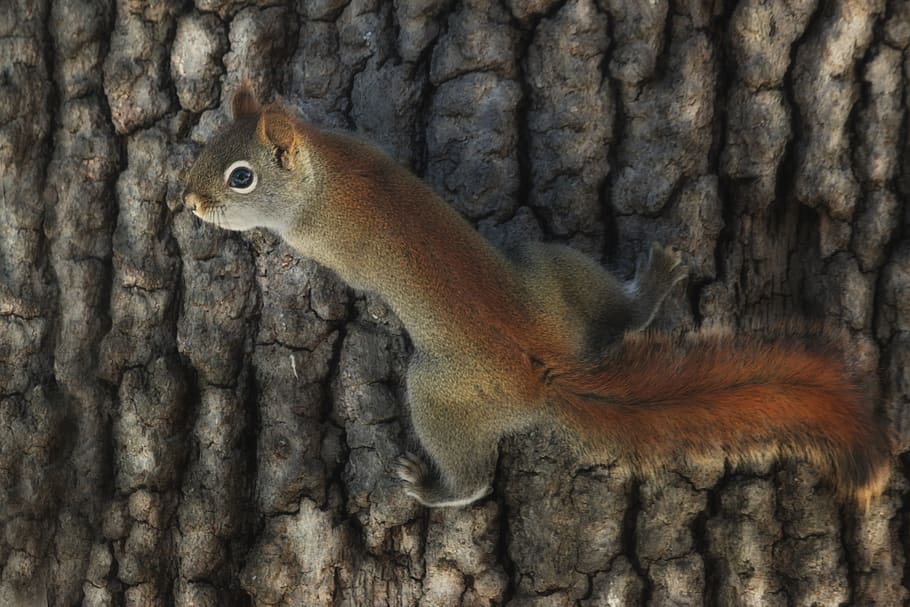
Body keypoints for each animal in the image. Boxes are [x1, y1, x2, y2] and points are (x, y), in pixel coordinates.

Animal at [183, 82, 892, 508]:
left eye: (240, 177)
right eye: (205, 146)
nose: (188, 201)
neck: (326, 171)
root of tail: (552, 374)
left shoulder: (318, 237)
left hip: (440, 392)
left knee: (472, 481)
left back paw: (434, 488)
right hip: (552, 268)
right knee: (619, 316)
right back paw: (649, 289)